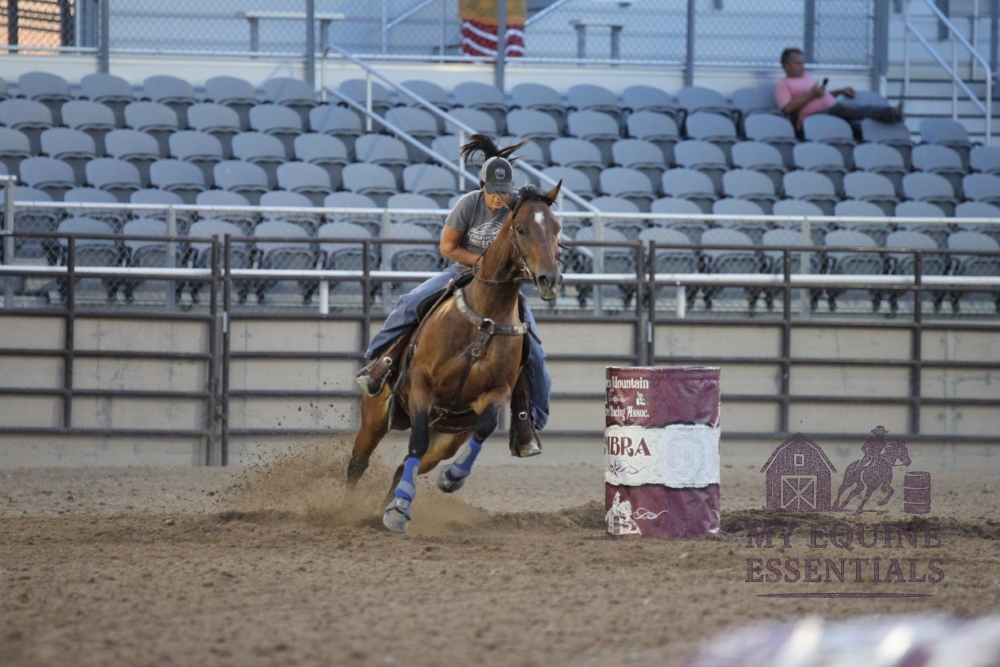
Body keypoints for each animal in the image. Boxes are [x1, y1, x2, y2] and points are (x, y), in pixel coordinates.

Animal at [345, 181, 563, 533]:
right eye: (521, 228)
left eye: (557, 229)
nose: (550, 281)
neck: (485, 319)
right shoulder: (422, 386)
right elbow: (415, 441)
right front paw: (398, 509)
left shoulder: (497, 392)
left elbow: (484, 428)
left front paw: (450, 479)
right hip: (375, 415)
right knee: (359, 462)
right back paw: (348, 507)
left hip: (447, 437)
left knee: (405, 465)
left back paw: (389, 507)